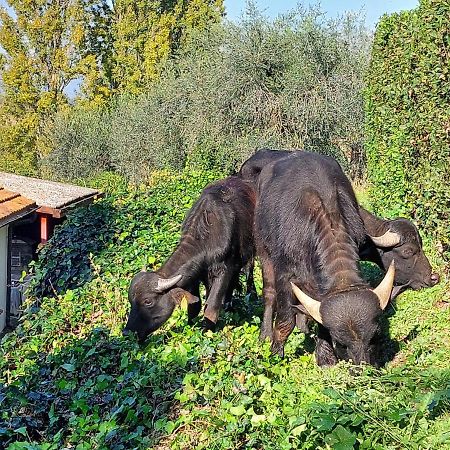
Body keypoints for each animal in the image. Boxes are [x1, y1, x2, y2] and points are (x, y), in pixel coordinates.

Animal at [125, 176, 255, 342]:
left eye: (148, 301)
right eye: (131, 301)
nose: (127, 332)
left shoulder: (224, 269)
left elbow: (211, 306)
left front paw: (206, 331)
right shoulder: (195, 275)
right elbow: (195, 306)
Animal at [255, 151, 396, 366]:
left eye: (375, 336)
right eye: (341, 343)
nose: (363, 368)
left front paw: (325, 357)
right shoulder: (285, 273)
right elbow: (285, 320)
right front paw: (276, 352)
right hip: (263, 250)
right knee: (269, 293)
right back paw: (265, 334)